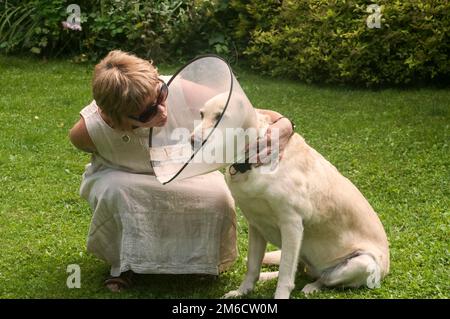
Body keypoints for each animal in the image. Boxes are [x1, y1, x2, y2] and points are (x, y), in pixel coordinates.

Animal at [192, 94, 388, 298]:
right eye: (201, 115)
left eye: (220, 117)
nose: (193, 141)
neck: (250, 163)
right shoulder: (255, 224)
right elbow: (253, 266)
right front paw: (242, 291)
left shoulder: (292, 225)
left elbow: (286, 275)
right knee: (297, 271)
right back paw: (267, 276)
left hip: (362, 263)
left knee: (323, 278)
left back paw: (311, 287)